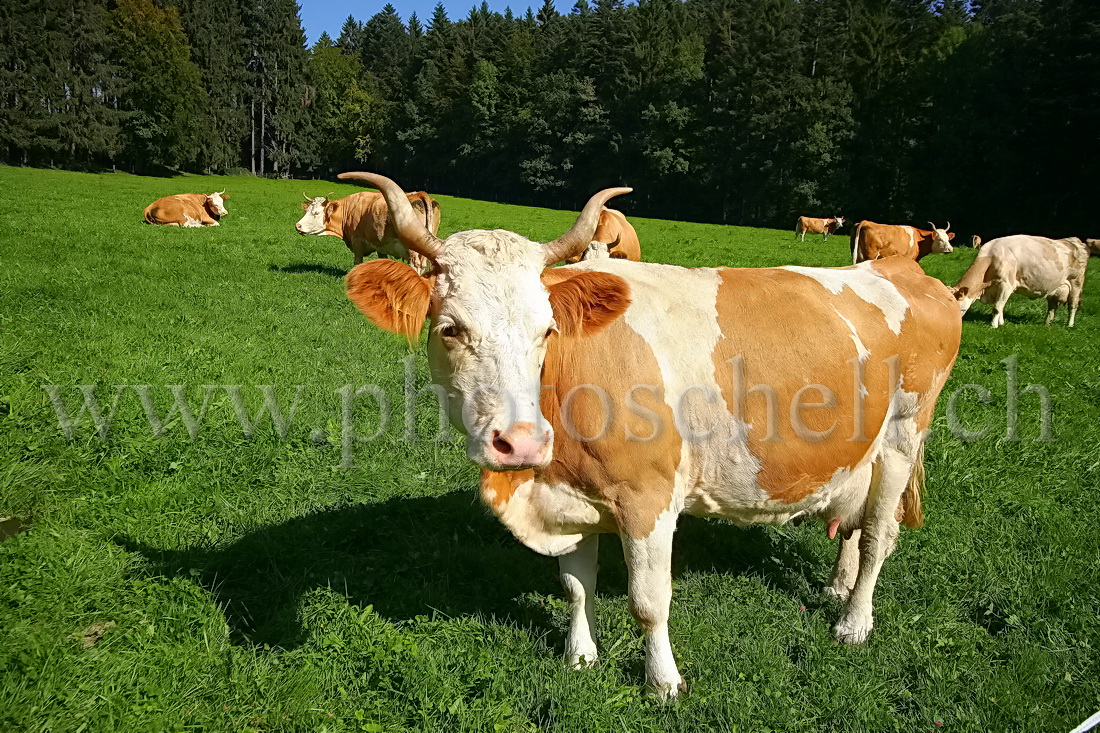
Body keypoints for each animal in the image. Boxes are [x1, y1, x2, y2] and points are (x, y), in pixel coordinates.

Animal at [301, 187, 442, 272]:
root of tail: (420, 194)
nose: (298, 226)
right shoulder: (380, 245)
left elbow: (357, 262)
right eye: (307, 210)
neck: (350, 208)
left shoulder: (357, 241)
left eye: (316, 212)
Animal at [336, 171, 963, 695]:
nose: (520, 443)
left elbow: (649, 601)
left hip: (904, 434)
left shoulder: (649, 498)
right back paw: (838, 584)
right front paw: (580, 654)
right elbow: (576, 586)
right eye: (449, 328)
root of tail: (907, 270)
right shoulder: (570, 494)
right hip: (861, 451)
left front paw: (662, 681)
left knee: (879, 535)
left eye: (547, 330)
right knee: (855, 525)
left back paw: (853, 621)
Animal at [954, 234, 1091, 325]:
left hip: (1076, 284)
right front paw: (1001, 323)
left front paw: (993, 326)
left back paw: (1069, 325)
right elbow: (1001, 306)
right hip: (1055, 289)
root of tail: (1074, 241)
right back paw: (1047, 324)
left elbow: (997, 307)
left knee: (1072, 305)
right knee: (1052, 307)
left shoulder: (1006, 285)